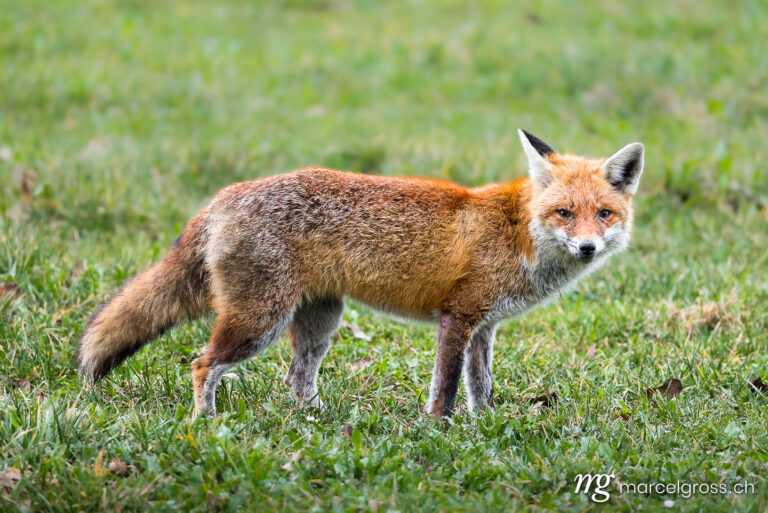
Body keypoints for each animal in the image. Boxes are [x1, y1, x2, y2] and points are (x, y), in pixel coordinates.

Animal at [76, 130, 640, 418]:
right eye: (564, 213)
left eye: (603, 214)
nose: (588, 247)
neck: (517, 231)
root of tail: (226, 194)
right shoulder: (458, 317)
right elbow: (446, 387)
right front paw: (440, 431)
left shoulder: (485, 326)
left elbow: (482, 388)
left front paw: (488, 427)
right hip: (260, 321)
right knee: (202, 364)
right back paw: (207, 424)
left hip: (319, 322)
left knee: (296, 378)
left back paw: (314, 422)